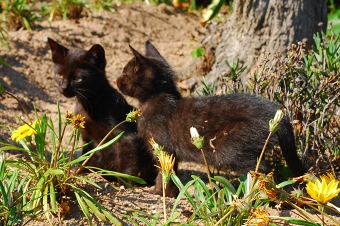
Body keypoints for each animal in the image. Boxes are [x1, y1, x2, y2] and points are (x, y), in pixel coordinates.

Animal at [47, 37, 158, 185]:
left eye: (77, 78)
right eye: (59, 75)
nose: (63, 88)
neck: (90, 104)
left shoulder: (127, 136)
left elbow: (128, 161)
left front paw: (124, 183)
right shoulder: (87, 138)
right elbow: (85, 158)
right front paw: (78, 174)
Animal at [117, 40, 306, 196]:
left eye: (125, 73)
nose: (117, 80)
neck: (157, 97)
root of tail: (277, 112)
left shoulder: (163, 147)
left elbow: (164, 173)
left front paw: (158, 192)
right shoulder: (171, 154)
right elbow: (172, 172)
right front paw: (170, 194)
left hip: (230, 148)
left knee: (263, 169)